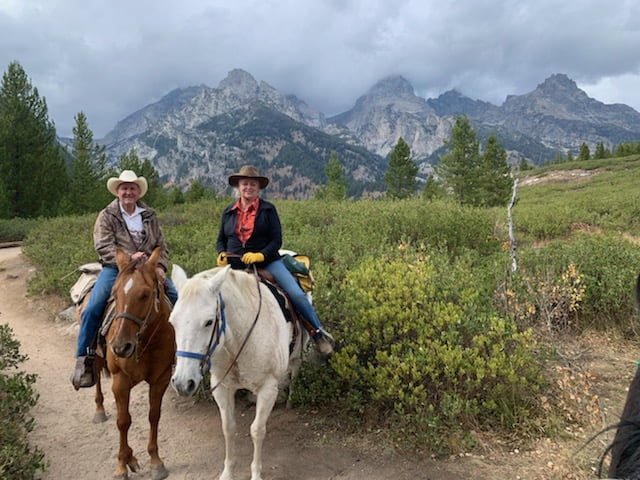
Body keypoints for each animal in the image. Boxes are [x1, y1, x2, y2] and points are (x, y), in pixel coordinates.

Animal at [84, 248, 178, 480]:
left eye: (145, 294)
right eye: (115, 294)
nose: (120, 347)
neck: (146, 342)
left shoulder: (160, 379)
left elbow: (154, 416)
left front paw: (155, 462)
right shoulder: (120, 381)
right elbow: (123, 421)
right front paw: (122, 464)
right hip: (97, 358)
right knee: (97, 378)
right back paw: (99, 410)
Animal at [168, 264, 302, 480]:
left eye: (209, 321)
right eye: (172, 322)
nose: (182, 383)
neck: (239, 339)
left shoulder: (267, 389)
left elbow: (257, 430)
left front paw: (256, 473)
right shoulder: (222, 387)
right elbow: (228, 428)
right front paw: (227, 472)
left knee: (295, 369)